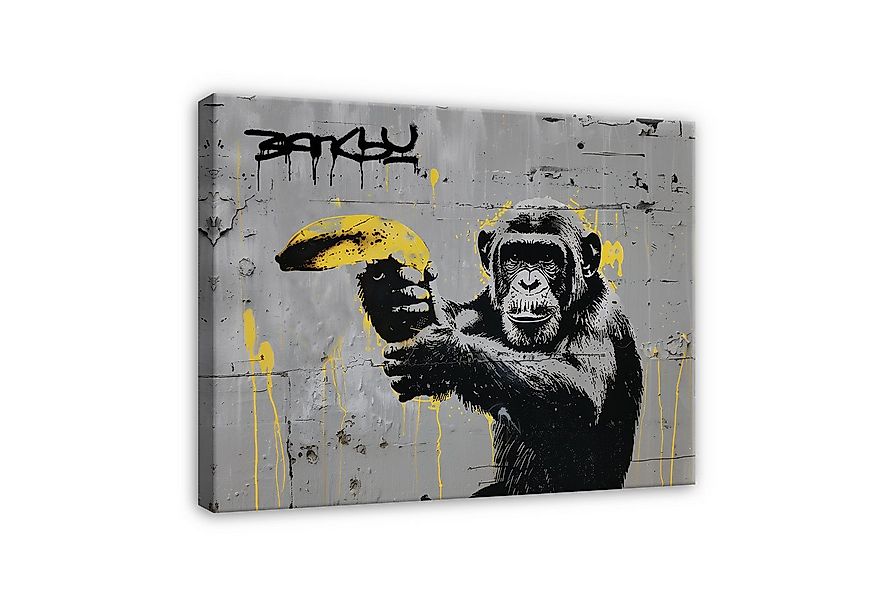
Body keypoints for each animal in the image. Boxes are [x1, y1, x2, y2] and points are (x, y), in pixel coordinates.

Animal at [360, 198, 643, 496]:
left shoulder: (601, 320)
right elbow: (456, 317)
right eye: (515, 257)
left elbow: (582, 398)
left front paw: (438, 354)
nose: (529, 282)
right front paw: (390, 291)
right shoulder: (485, 306)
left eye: (547, 258)